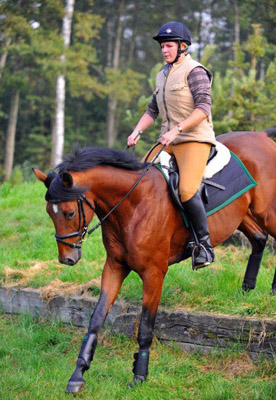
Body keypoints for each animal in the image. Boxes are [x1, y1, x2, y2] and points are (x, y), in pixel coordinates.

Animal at [34, 129, 276, 394]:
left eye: (69, 213)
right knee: (259, 239)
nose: (67, 258)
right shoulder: (115, 267)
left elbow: (146, 327)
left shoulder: (154, 273)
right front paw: (78, 374)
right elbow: (96, 320)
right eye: (49, 212)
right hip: (242, 214)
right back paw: (247, 289)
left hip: (266, 210)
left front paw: (139, 375)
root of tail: (261, 135)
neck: (133, 205)